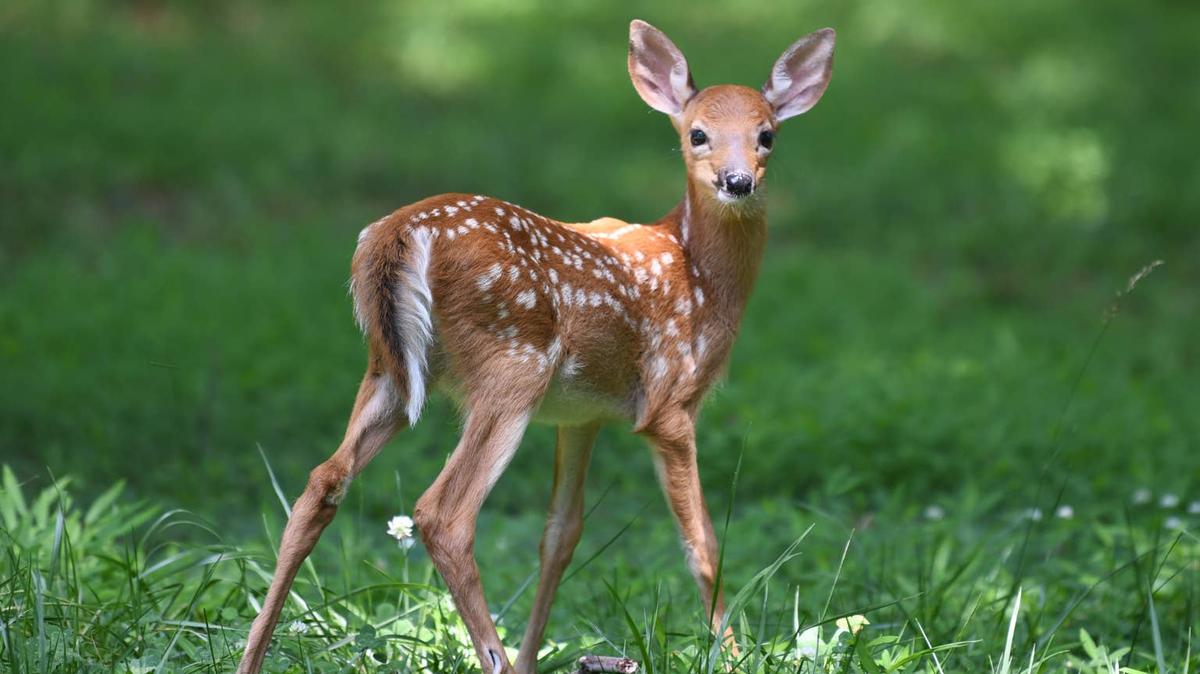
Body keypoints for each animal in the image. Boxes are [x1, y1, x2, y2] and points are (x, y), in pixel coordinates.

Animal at [236, 19, 835, 674]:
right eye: (698, 133)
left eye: (766, 135)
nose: (738, 181)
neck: (698, 275)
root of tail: (397, 233)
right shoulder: (670, 404)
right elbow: (701, 540)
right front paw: (730, 655)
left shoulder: (582, 416)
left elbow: (560, 534)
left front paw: (533, 653)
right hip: (512, 364)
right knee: (443, 513)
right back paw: (492, 654)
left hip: (390, 370)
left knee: (321, 483)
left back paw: (250, 657)